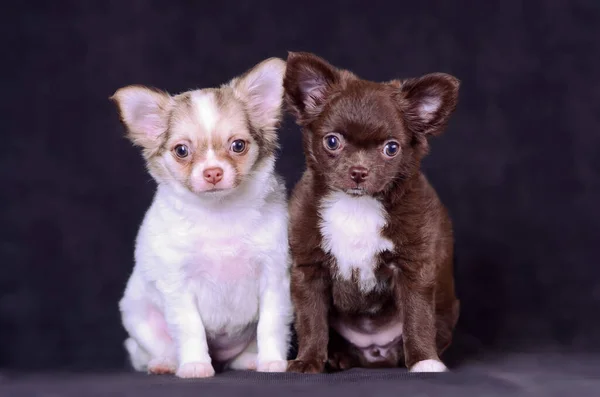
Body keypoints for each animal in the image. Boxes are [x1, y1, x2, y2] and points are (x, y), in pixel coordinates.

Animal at [112, 57, 292, 376]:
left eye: (238, 145)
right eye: (182, 150)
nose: (213, 172)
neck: (219, 213)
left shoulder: (274, 277)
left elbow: (270, 324)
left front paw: (272, 361)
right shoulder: (178, 286)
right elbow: (189, 328)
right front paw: (195, 365)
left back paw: (250, 359)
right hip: (137, 315)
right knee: (152, 349)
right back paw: (167, 363)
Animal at [284, 51, 462, 372]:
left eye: (391, 148)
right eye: (332, 141)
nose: (358, 171)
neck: (356, 206)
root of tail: (375, 353)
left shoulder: (413, 268)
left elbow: (417, 317)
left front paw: (424, 361)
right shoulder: (309, 270)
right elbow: (311, 319)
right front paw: (308, 360)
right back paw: (337, 357)